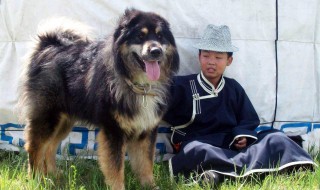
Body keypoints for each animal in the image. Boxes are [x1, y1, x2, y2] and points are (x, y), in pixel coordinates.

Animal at [19, 8, 180, 189]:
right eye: (140, 36)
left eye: (160, 36)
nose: (156, 51)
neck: (139, 86)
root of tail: (46, 46)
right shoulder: (113, 130)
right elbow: (116, 167)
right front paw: (118, 187)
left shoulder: (147, 129)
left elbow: (145, 163)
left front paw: (150, 186)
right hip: (47, 116)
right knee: (35, 147)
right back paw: (36, 179)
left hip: (64, 121)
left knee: (50, 146)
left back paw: (54, 175)